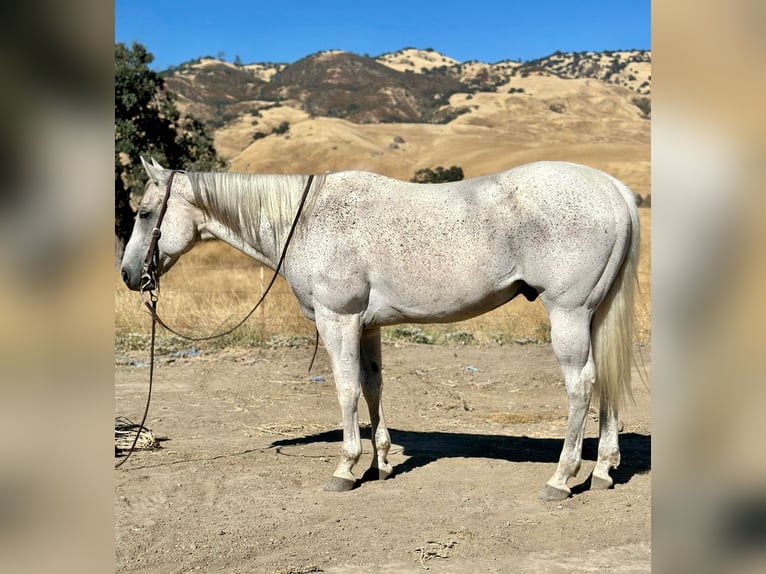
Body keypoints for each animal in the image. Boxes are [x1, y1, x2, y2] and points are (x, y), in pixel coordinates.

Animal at [120, 158, 640, 500]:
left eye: (144, 213)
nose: (128, 275)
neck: (306, 220)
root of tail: (614, 189)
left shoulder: (338, 320)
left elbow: (346, 390)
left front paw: (347, 467)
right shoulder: (366, 327)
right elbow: (372, 387)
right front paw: (383, 462)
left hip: (568, 314)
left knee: (582, 385)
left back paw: (562, 478)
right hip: (595, 315)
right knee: (607, 383)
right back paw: (603, 471)